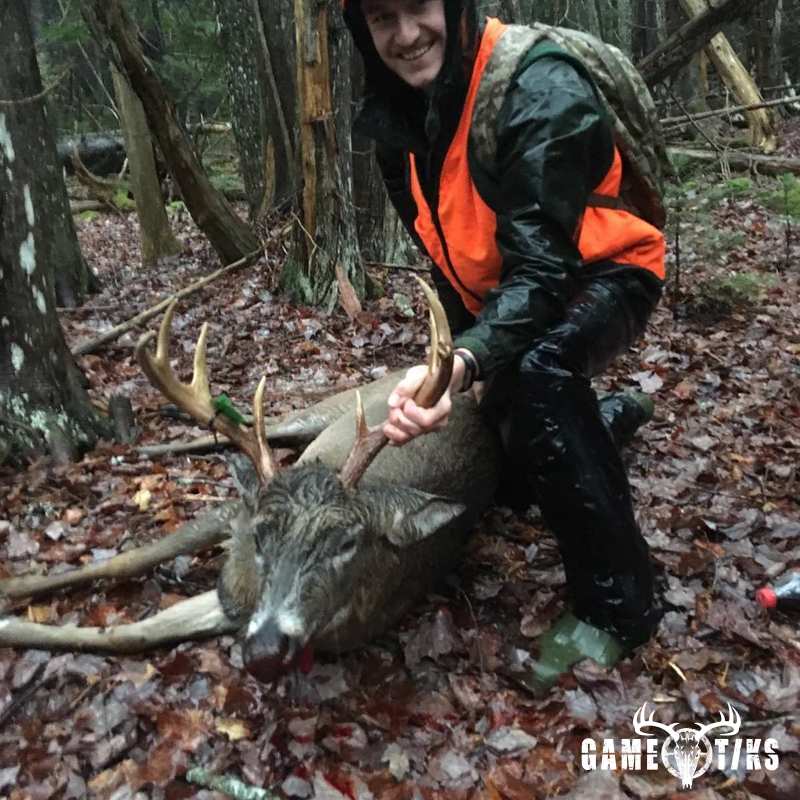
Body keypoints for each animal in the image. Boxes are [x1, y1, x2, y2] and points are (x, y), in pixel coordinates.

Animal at [0, 281, 502, 682]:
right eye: (261, 535)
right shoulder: (234, 515)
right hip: (330, 406)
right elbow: (126, 563)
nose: (265, 650)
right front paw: (11, 594)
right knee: (269, 422)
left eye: (347, 542)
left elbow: (127, 634)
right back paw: (146, 442)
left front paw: (9, 621)